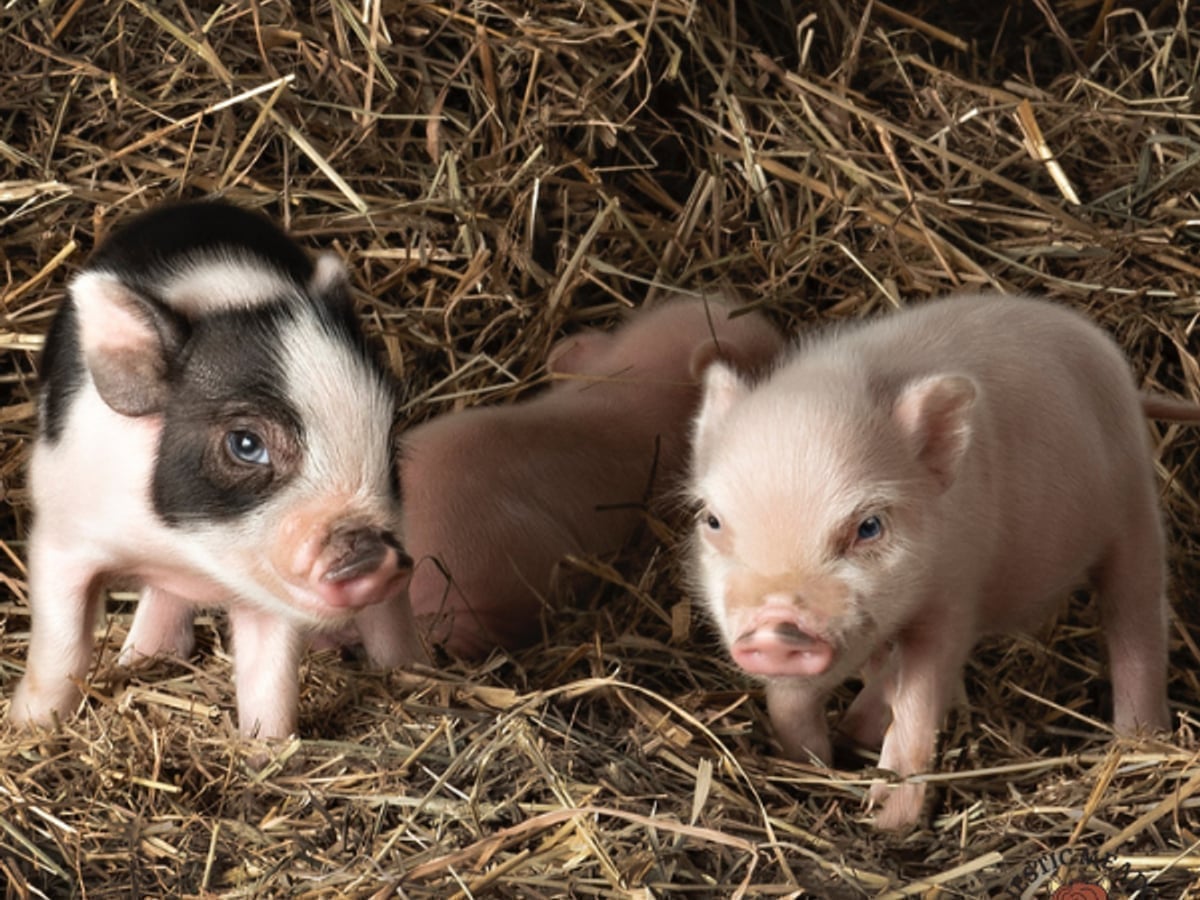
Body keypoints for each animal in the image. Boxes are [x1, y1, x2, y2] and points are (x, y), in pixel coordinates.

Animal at [9, 199, 425, 739]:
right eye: (246, 443)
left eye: (389, 440)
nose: (372, 552)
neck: (185, 552)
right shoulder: (62, 532)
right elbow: (59, 645)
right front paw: (28, 727)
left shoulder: (271, 591)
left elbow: (269, 680)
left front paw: (267, 746)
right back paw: (140, 660)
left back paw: (411, 670)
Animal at [687, 293, 1174, 829]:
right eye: (712, 520)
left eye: (869, 527)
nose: (775, 628)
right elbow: (791, 704)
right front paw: (815, 765)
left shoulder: (955, 594)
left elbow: (920, 701)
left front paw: (888, 823)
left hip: (1133, 505)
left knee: (1137, 617)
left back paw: (1140, 739)